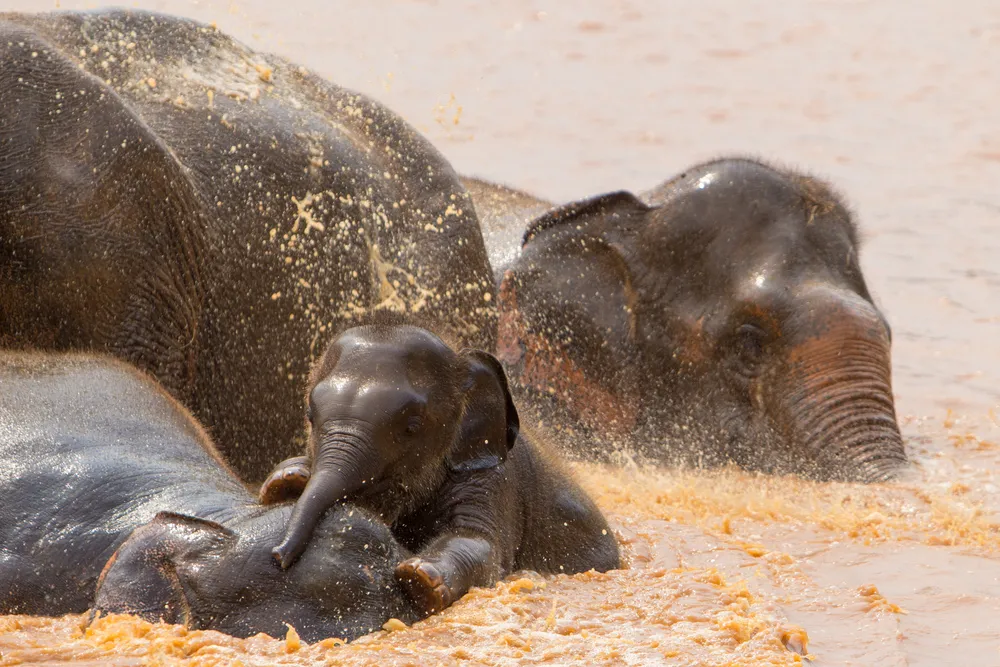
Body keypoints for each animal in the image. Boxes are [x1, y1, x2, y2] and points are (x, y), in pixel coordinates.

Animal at [258, 315, 620, 614]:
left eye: (412, 426)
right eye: (310, 415)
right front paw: (289, 478)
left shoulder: (493, 478)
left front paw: (418, 577)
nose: (278, 556)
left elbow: (478, 541)